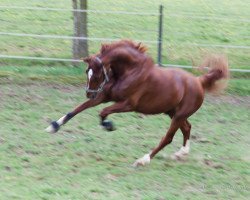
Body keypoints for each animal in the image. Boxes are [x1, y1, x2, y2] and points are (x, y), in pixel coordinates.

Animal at [46, 39, 229, 166]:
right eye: (86, 72)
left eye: (97, 74)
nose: (89, 94)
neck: (131, 71)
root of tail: (199, 82)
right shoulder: (105, 96)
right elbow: (77, 109)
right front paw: (54, 126)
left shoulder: (128, 105)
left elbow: (103, 112)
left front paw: (109, 125)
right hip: (173, 112)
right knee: (187, 127)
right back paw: (181, 153)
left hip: (178, 115)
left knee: (168, 137)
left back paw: (143, 160)